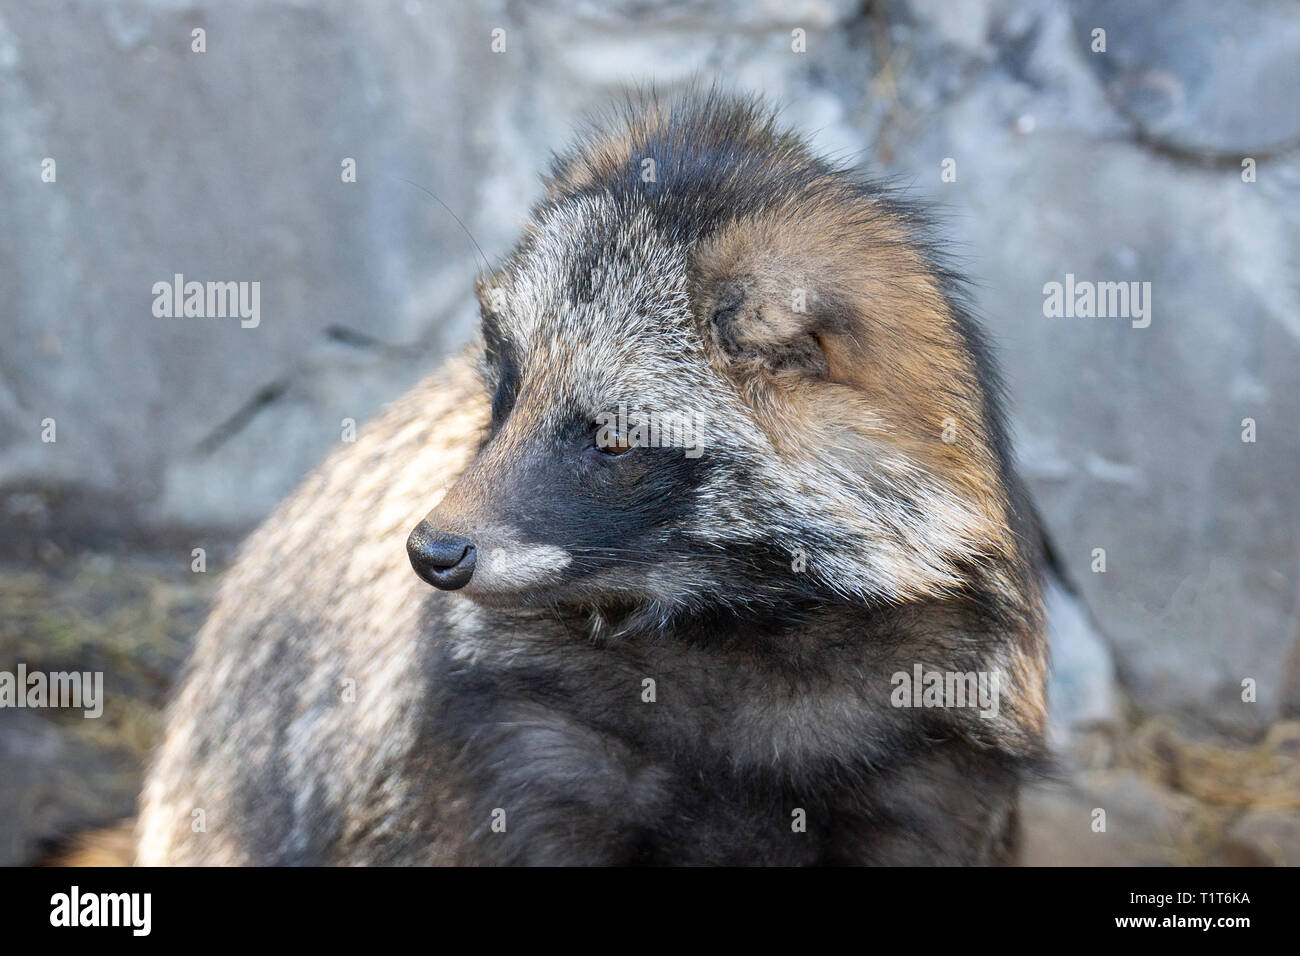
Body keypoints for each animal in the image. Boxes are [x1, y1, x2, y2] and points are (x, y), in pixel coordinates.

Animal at [136, 91, 1047, 866]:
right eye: (504, 392)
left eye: (611, 437)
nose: (432, 552)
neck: (734, 646)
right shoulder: (519, 774)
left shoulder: (930, 797)